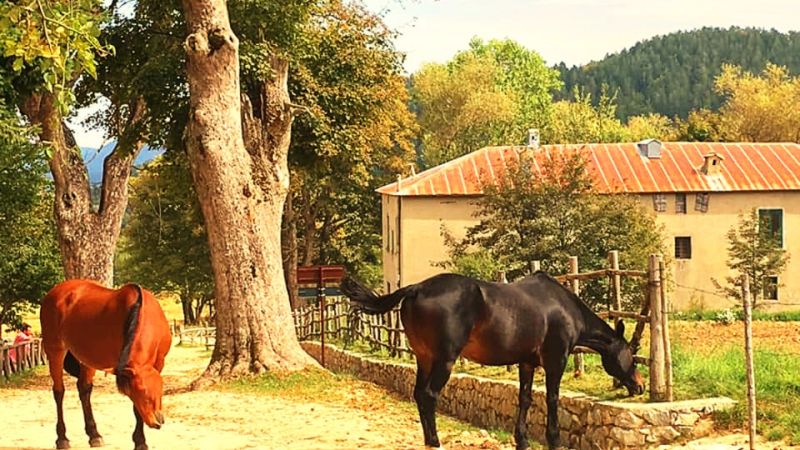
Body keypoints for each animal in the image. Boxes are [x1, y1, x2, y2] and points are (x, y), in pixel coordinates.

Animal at [39, 280, 171, 448]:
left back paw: (94, 434)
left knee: (84, 389)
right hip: (55, 350)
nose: (158, 420)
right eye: (139, 392)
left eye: (160, 389)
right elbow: (136, 408)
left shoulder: (159, 362)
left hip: (87, 356)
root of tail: (53, 293)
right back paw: (62, 438)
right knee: (59, 391)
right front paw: (140, 441)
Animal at [340, 270, 648, 450]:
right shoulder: (555, 361)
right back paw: (436, 441)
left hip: (423, 358)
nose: (640, 385)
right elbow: (552, 399)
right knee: (429, 395)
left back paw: (429, 440)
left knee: (418, 394)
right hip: (443, 360)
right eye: (632, 355)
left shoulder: (527, 363)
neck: (563, 308)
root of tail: (416, 288)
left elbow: (525, 398)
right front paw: (553, 439)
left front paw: (522, 439)